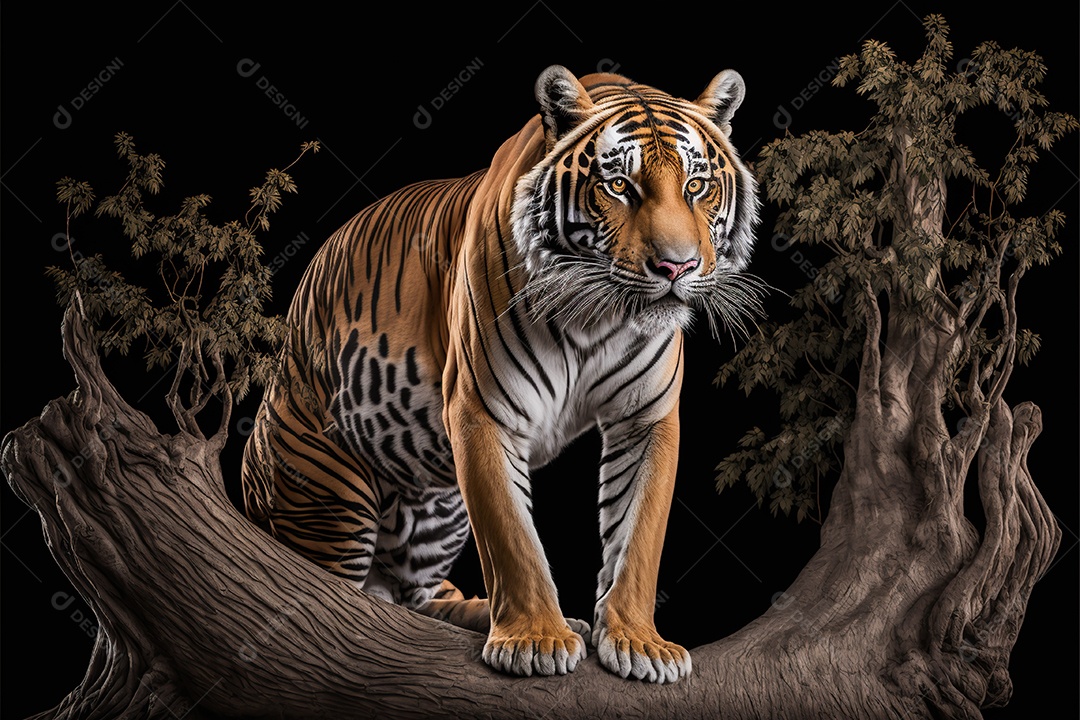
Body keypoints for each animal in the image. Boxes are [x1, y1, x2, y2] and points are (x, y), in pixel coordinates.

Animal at [241, 64, 762, 684]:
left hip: (437, 517)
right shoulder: (482, 410)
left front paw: (639, 642)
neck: (598, 318)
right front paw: (536, 639)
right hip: (330, 500)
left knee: (412, 593)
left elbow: (638, 538)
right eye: (618, 187)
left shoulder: (646, 418)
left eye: (697, 186)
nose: (676, 267)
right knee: (340, 592)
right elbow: (512, 537)